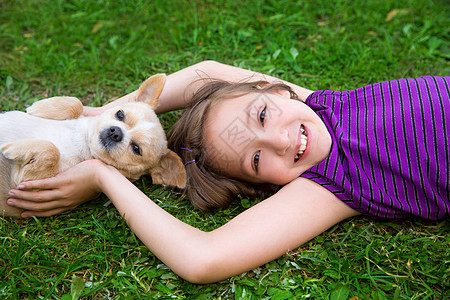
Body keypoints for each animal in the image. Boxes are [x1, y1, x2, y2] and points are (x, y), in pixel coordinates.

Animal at [0, 74, 185, 217]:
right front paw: (41, 107)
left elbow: (51, 151)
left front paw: (12, 148)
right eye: (120, 114)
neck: (83, 141)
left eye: (136, 149)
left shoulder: (25, 184)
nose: (116, 132)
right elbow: (77, 103)